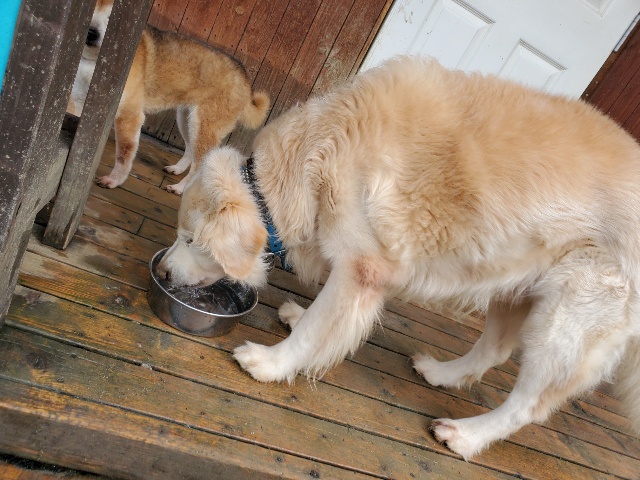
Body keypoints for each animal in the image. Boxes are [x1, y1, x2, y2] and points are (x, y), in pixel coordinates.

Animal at [69, 0, 270, 195]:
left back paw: (180, 188)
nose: (91, 33)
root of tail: (246, 82)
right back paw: (177, 170)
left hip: (203, 127)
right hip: (187, 121)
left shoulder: (129, 116)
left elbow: (123, 155)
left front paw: (114, 180)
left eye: (114, 18)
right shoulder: (79, 102)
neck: (95, 61)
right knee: (190, 151)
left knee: (199, 164)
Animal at [156, 56, 640, 460]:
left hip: (566, 325)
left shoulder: (362, 267)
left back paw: (467, 435)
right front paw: (297, 318)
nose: (161, 269)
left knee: (528, 405)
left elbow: (317, 330)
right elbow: (324, 318)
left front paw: (273, 364)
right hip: (514, 283)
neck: (319, 150)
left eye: (191, 240)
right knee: (495, 349)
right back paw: (442, 374)